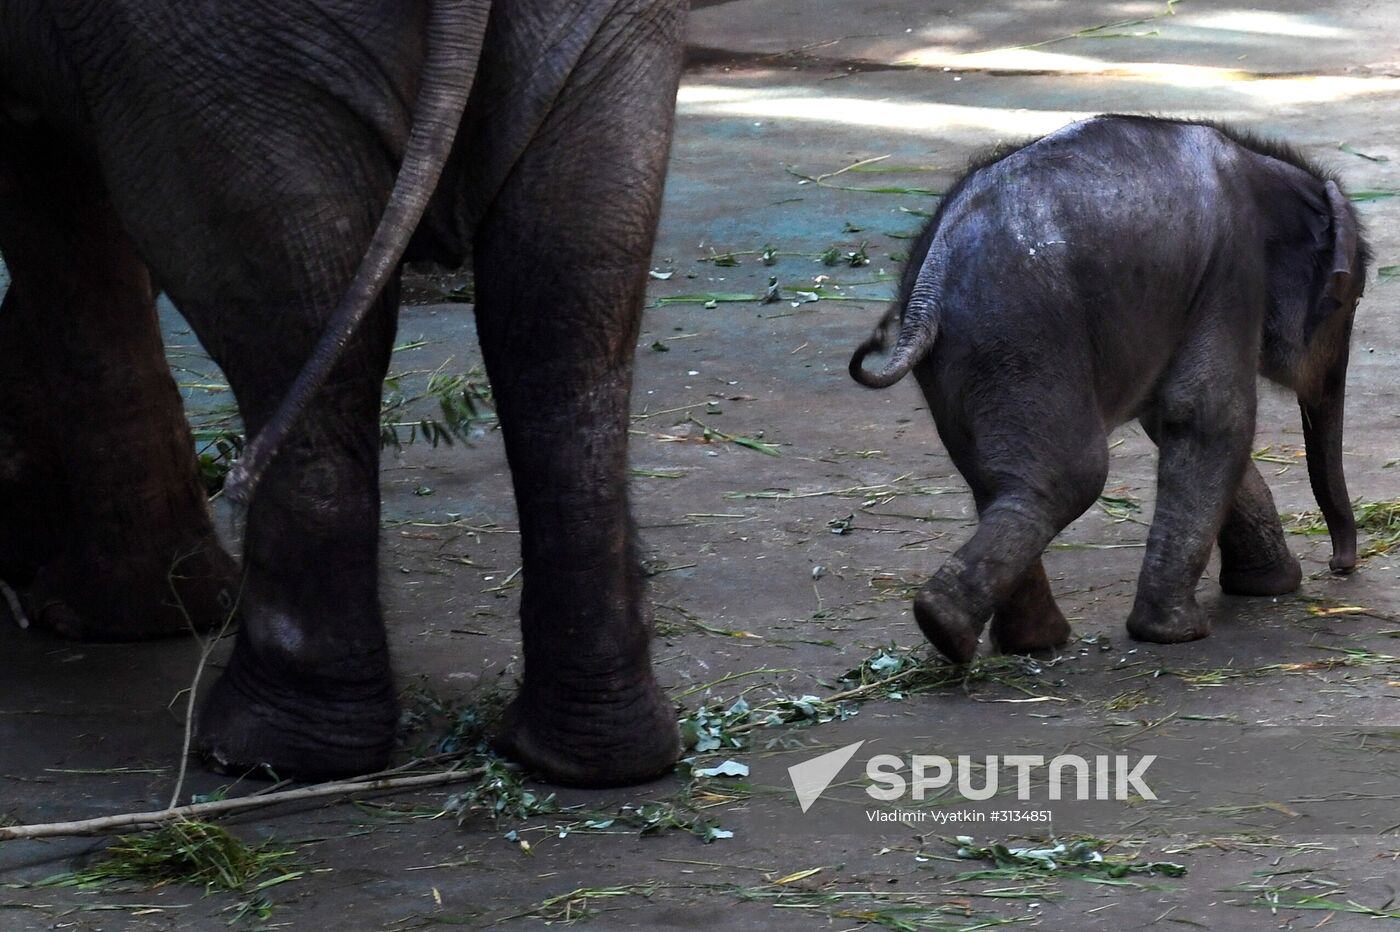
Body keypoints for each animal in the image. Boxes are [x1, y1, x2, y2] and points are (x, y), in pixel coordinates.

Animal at [850, 115, 1367, 665]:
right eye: (1348, 303)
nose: (1339, 566)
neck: (1267, 166)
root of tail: (929, 284)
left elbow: (1173, 419)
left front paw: (1268, 587)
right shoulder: (1231, 271)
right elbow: (1211, 418)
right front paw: (1179, 632)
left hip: (968, 360)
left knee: (999, 480)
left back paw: (1013, 638)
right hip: (1026, 335)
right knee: (1071, 474)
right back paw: (960, 628)